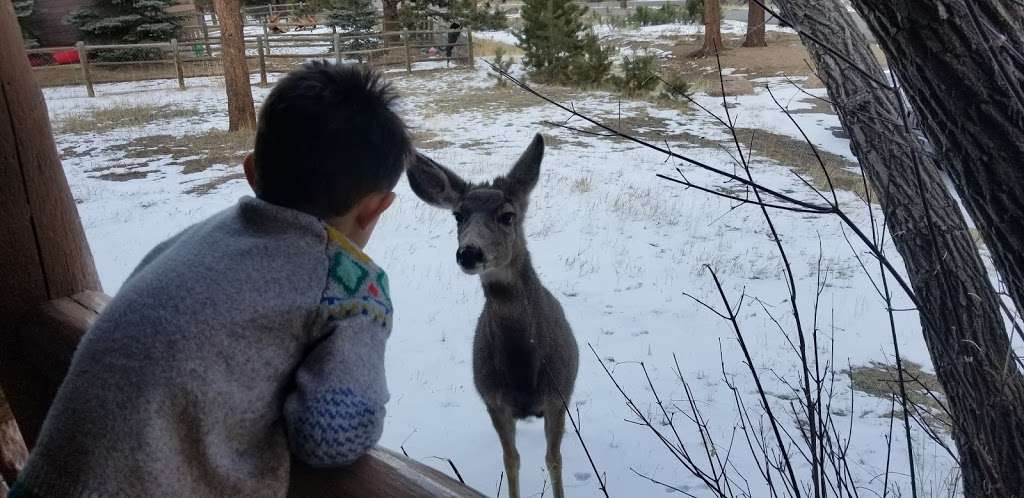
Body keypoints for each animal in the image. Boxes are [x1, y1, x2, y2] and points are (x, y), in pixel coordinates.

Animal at [409, 134, 585, 498]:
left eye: (507, 216)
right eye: (458, 216)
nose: (469, 253)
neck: (522, 370)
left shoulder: (557, 396)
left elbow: (554, 460)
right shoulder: (493, 400)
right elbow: (511, 460)